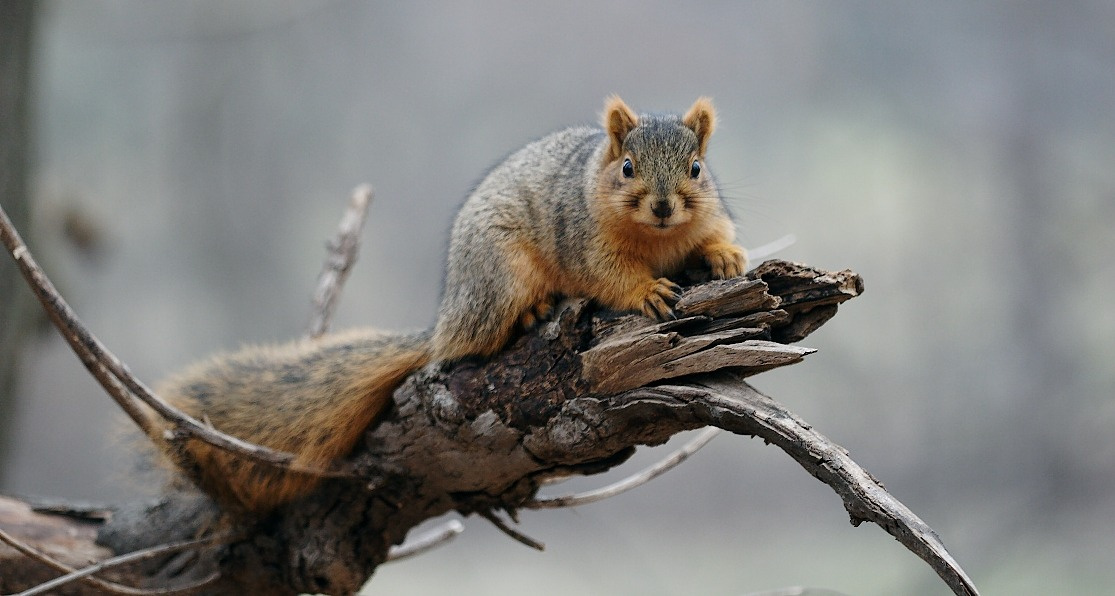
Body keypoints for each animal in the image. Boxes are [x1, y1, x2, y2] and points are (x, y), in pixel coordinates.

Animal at [151, 96, 747, 514]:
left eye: (697, 168)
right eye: (626, 167)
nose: (664, 206)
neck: (657, 238)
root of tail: (446, 321)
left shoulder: (707, 214)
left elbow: (716, 233)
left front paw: (727, 256)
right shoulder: (585, 239)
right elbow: (608, 276)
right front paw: (646, 291)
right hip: (501, 274)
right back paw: (530, 313)